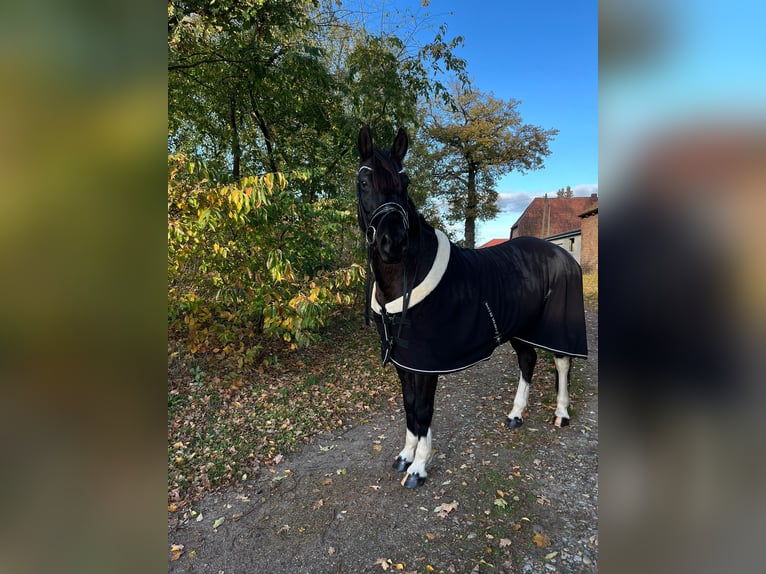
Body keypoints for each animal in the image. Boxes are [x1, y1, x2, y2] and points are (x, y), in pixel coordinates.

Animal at [356, 125, 588, 488]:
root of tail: (562, 253)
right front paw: (405, 456)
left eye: (404, 182)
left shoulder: (425, 366)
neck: (407, 276)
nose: (392, 243)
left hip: (556, 325)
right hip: (521, 327)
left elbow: (423, 411)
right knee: (528, 361)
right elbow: (409, 408)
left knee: (562, 362)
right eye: (364, 181)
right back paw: (515, 414)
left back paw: (561, 413)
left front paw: (418, 468)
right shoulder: (404, 362)